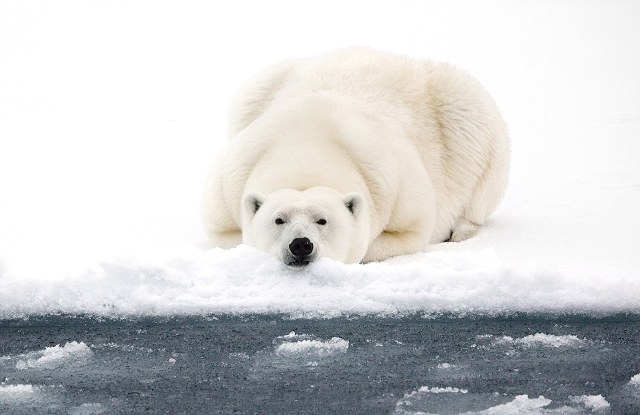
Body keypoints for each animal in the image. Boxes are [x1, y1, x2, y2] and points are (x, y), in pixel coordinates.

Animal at [201, 48, 510, 266]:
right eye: (279, 219)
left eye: (322, 220)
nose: (301, 244)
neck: (308, 145)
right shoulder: (229, 184)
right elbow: (227, 237)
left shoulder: (396, 186)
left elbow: (404, 234)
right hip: (257, 89)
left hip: (465, 113)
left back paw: (459, 229)